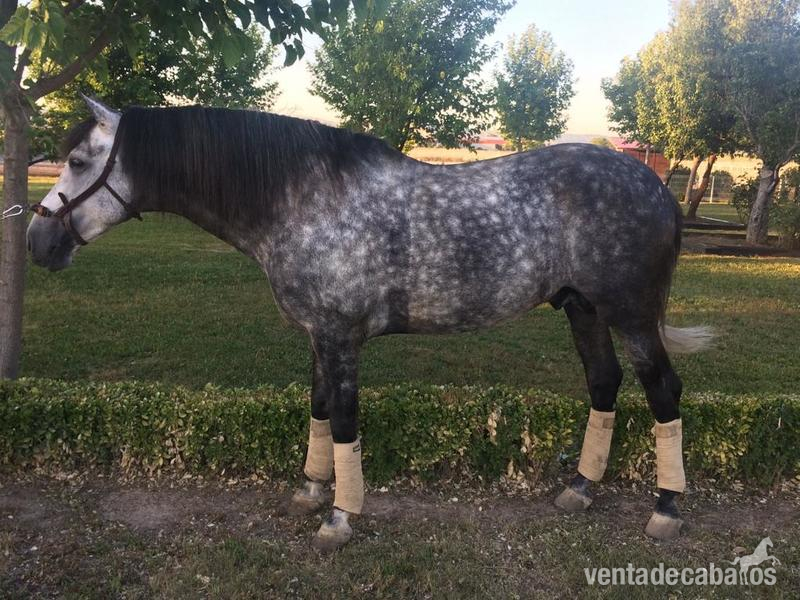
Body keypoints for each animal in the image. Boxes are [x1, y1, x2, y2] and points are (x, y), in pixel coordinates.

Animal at [26, 96, 712, 552]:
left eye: (80, 159)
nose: (37, 242)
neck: (303, 199)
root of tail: (655, 186)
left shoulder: (340, 337)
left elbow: (345, 419)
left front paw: (339, 517)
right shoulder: (318, 336)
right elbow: (318, 406)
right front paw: (310, 491)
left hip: (630, 315)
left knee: (662, 392)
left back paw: (666, 507)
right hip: (582, 309)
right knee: (603, 384)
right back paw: (579, 489)